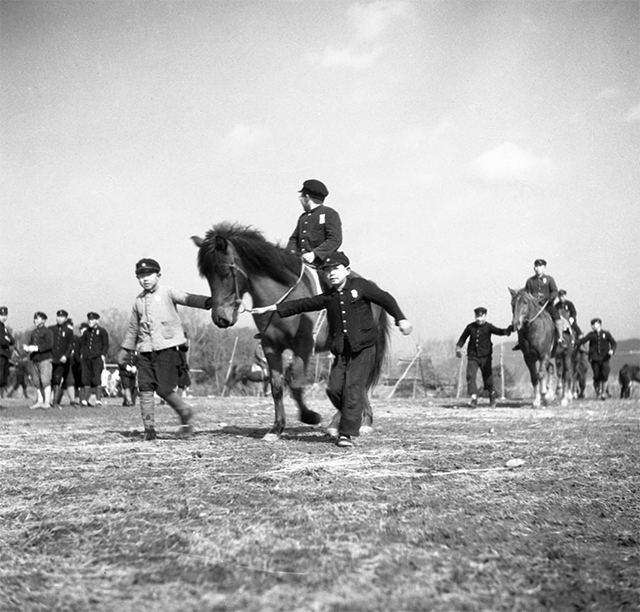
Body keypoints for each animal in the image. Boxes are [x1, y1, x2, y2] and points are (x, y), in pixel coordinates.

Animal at [190, 224, 390, 440]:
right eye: (207, 276)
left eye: (225, 272)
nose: (221, 319)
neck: (280, 295)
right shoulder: (270, 346)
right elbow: (277, 387)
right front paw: (276, 428)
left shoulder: (303, 345)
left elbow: (294, 383)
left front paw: (310, 416)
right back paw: (355, 423)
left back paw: (349, 424)